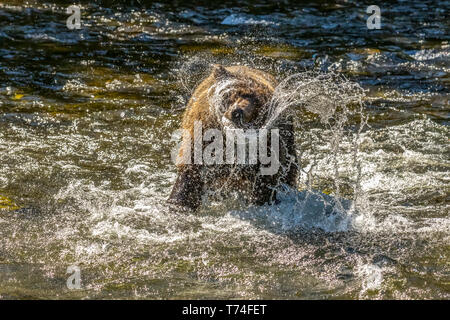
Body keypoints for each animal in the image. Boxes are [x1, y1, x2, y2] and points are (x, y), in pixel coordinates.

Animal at [167, 64, 298, 211]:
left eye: (257, 104)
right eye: (233, 94)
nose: (237, 112)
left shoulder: (267, 149)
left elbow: (265, 181)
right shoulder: (201, 138)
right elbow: (190, 174)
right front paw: (178, 203)